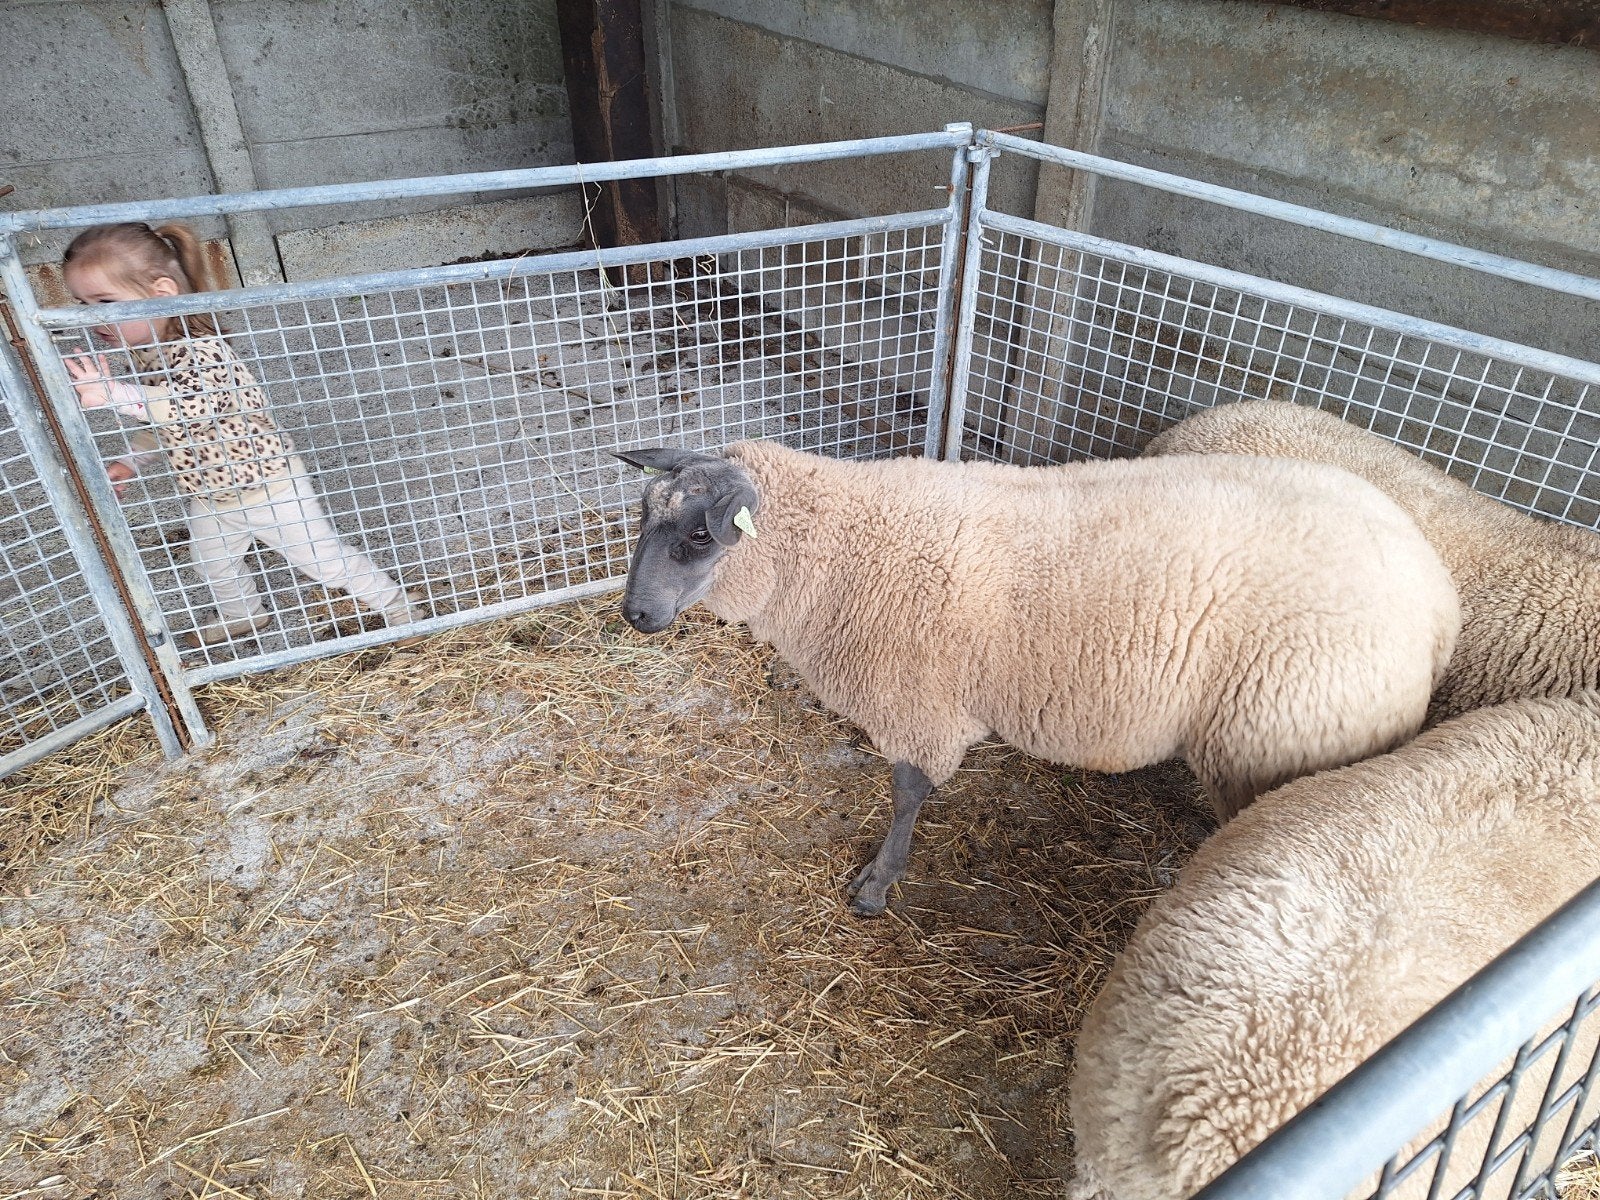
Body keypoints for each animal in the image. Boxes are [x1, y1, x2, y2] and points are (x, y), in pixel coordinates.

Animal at [615, 440, 1460, 916]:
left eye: (699, 535)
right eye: (643, 518)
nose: (634, 614)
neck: (840, 548)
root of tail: (1437, 599)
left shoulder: (919, 701)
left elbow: (907, 794)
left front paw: (877, 885)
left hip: (1283, 735)